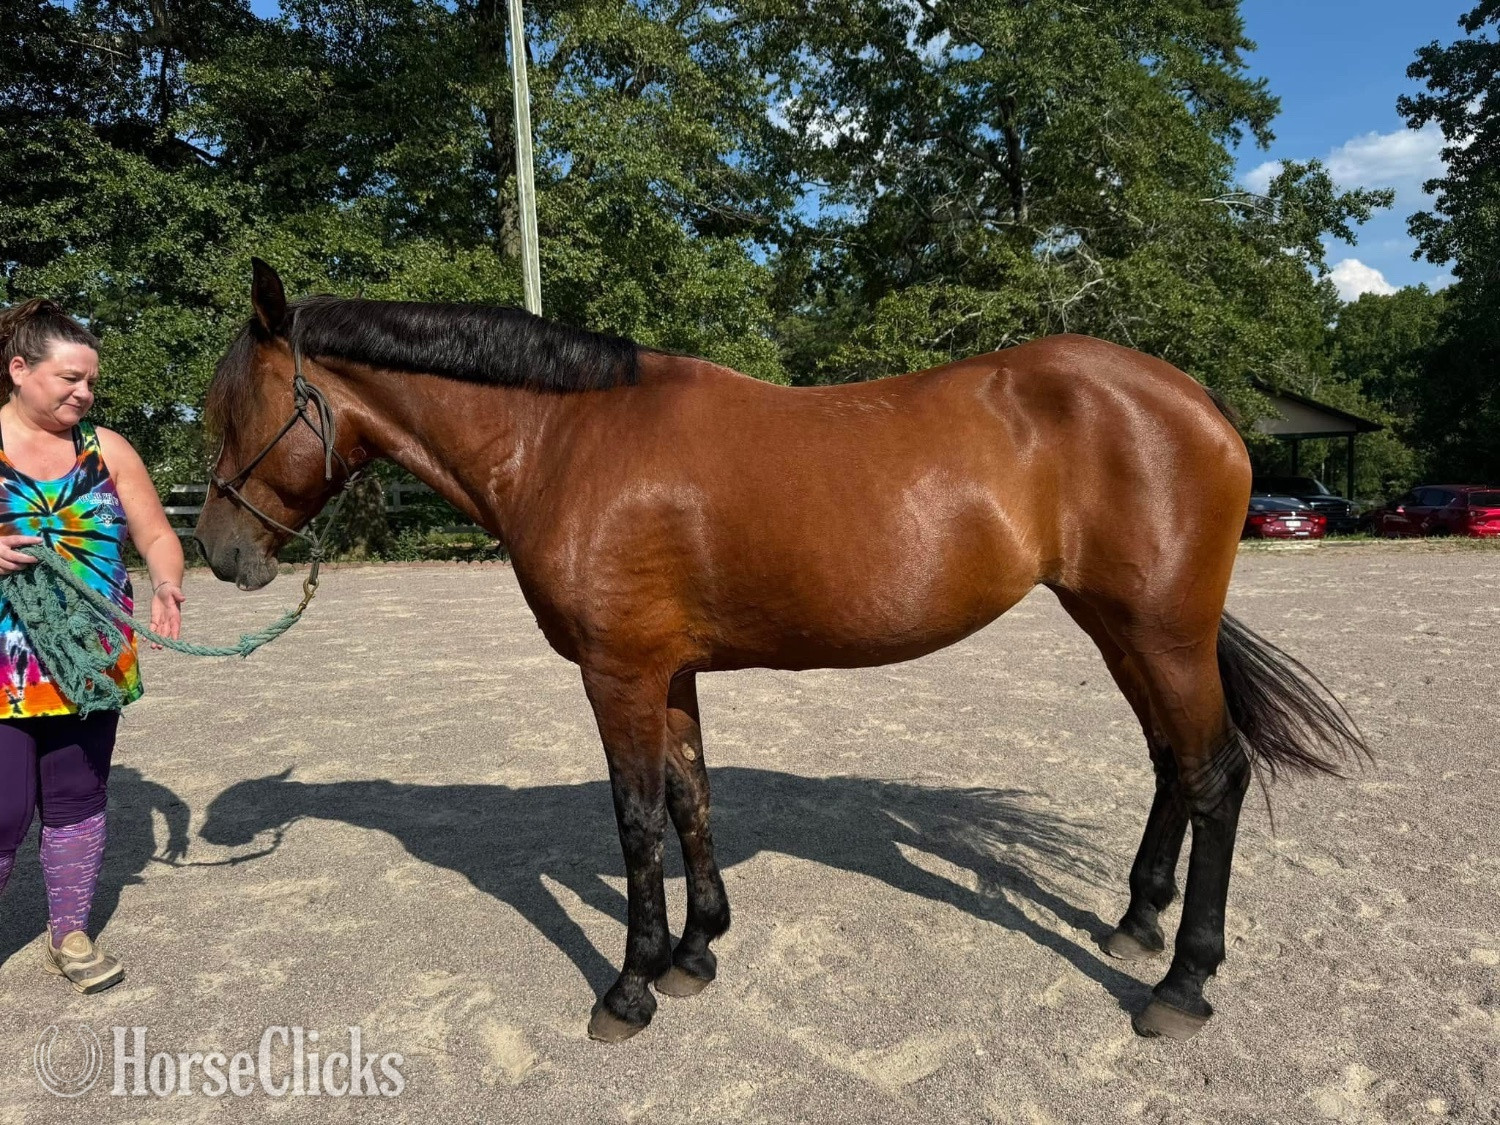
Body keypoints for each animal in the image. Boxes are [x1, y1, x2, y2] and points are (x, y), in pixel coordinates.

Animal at [194, 259, 1366, 1043]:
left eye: (229, 410)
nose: (216, 551)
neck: (566, 440)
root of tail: (1196, 400)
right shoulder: (666, 671)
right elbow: (691, 797)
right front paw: (696, 952)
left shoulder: (617, 671)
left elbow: (635, 820)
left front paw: (629, 989)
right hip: (1120, 626)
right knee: (1174, 763)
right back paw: (1135, 925)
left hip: (1162, 630)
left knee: (1215, 774)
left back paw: (1181, 985)